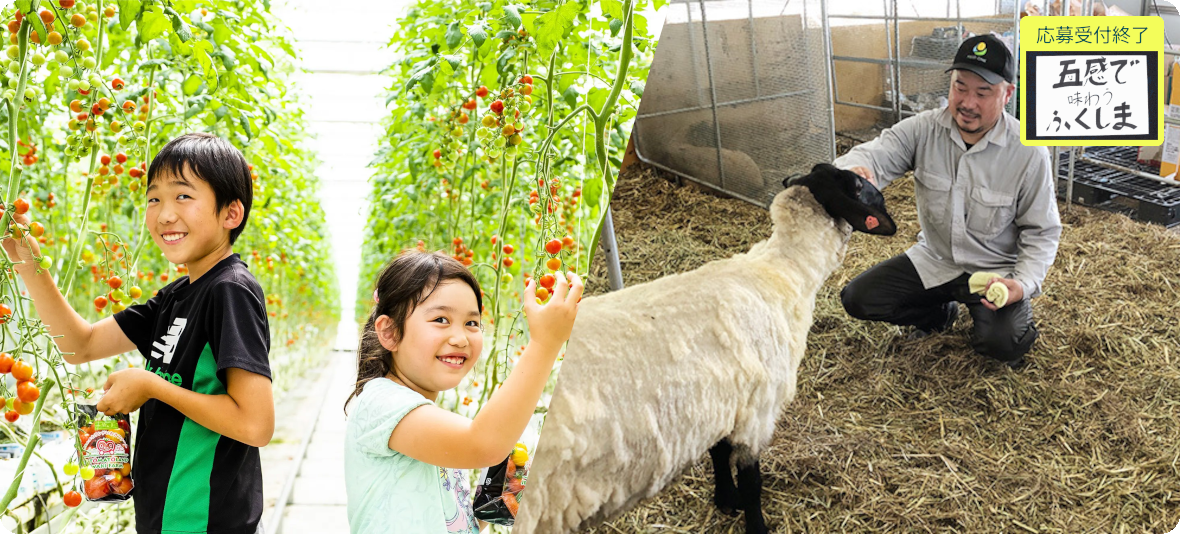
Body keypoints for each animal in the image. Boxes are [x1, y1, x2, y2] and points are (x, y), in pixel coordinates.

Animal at [514, 163, 892, 532]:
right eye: (860, 186)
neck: (783, 272)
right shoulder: (756, 411)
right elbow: (752, 481)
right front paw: (754, 523)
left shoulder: (720, 400)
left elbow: (718, 454)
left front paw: (725, 499)